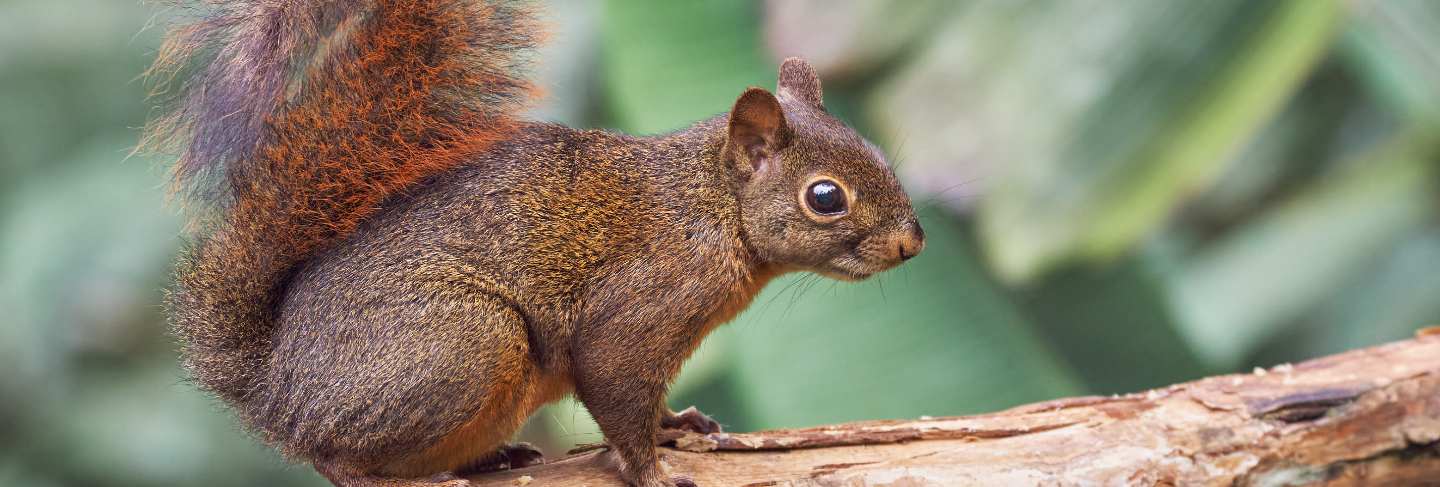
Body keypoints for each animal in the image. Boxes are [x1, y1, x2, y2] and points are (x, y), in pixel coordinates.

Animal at [143, 0, 921, 487]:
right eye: (826, 197)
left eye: (876, 150)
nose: (912, 245)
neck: (711, 207)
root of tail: (274, 384)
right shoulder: (638, 311)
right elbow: (617, 393)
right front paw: (654, 468)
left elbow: (647, 404)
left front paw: (678, 425)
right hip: (465, 340)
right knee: (329, 457)